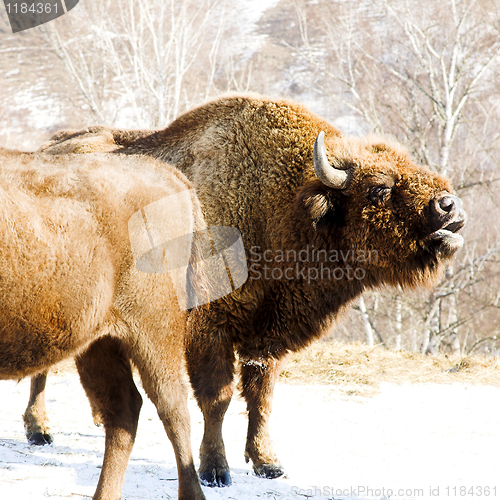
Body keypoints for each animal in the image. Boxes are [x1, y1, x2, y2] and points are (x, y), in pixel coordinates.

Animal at [41, 95, 466, 486]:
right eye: (378, 188)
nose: (449, 206)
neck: (283, 207)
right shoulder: (209, 330)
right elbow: (218, 399)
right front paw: (215, 469)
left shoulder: (267, 337)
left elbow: (261, 398)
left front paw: (268, 463)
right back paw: (39, 430)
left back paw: (95, 418)